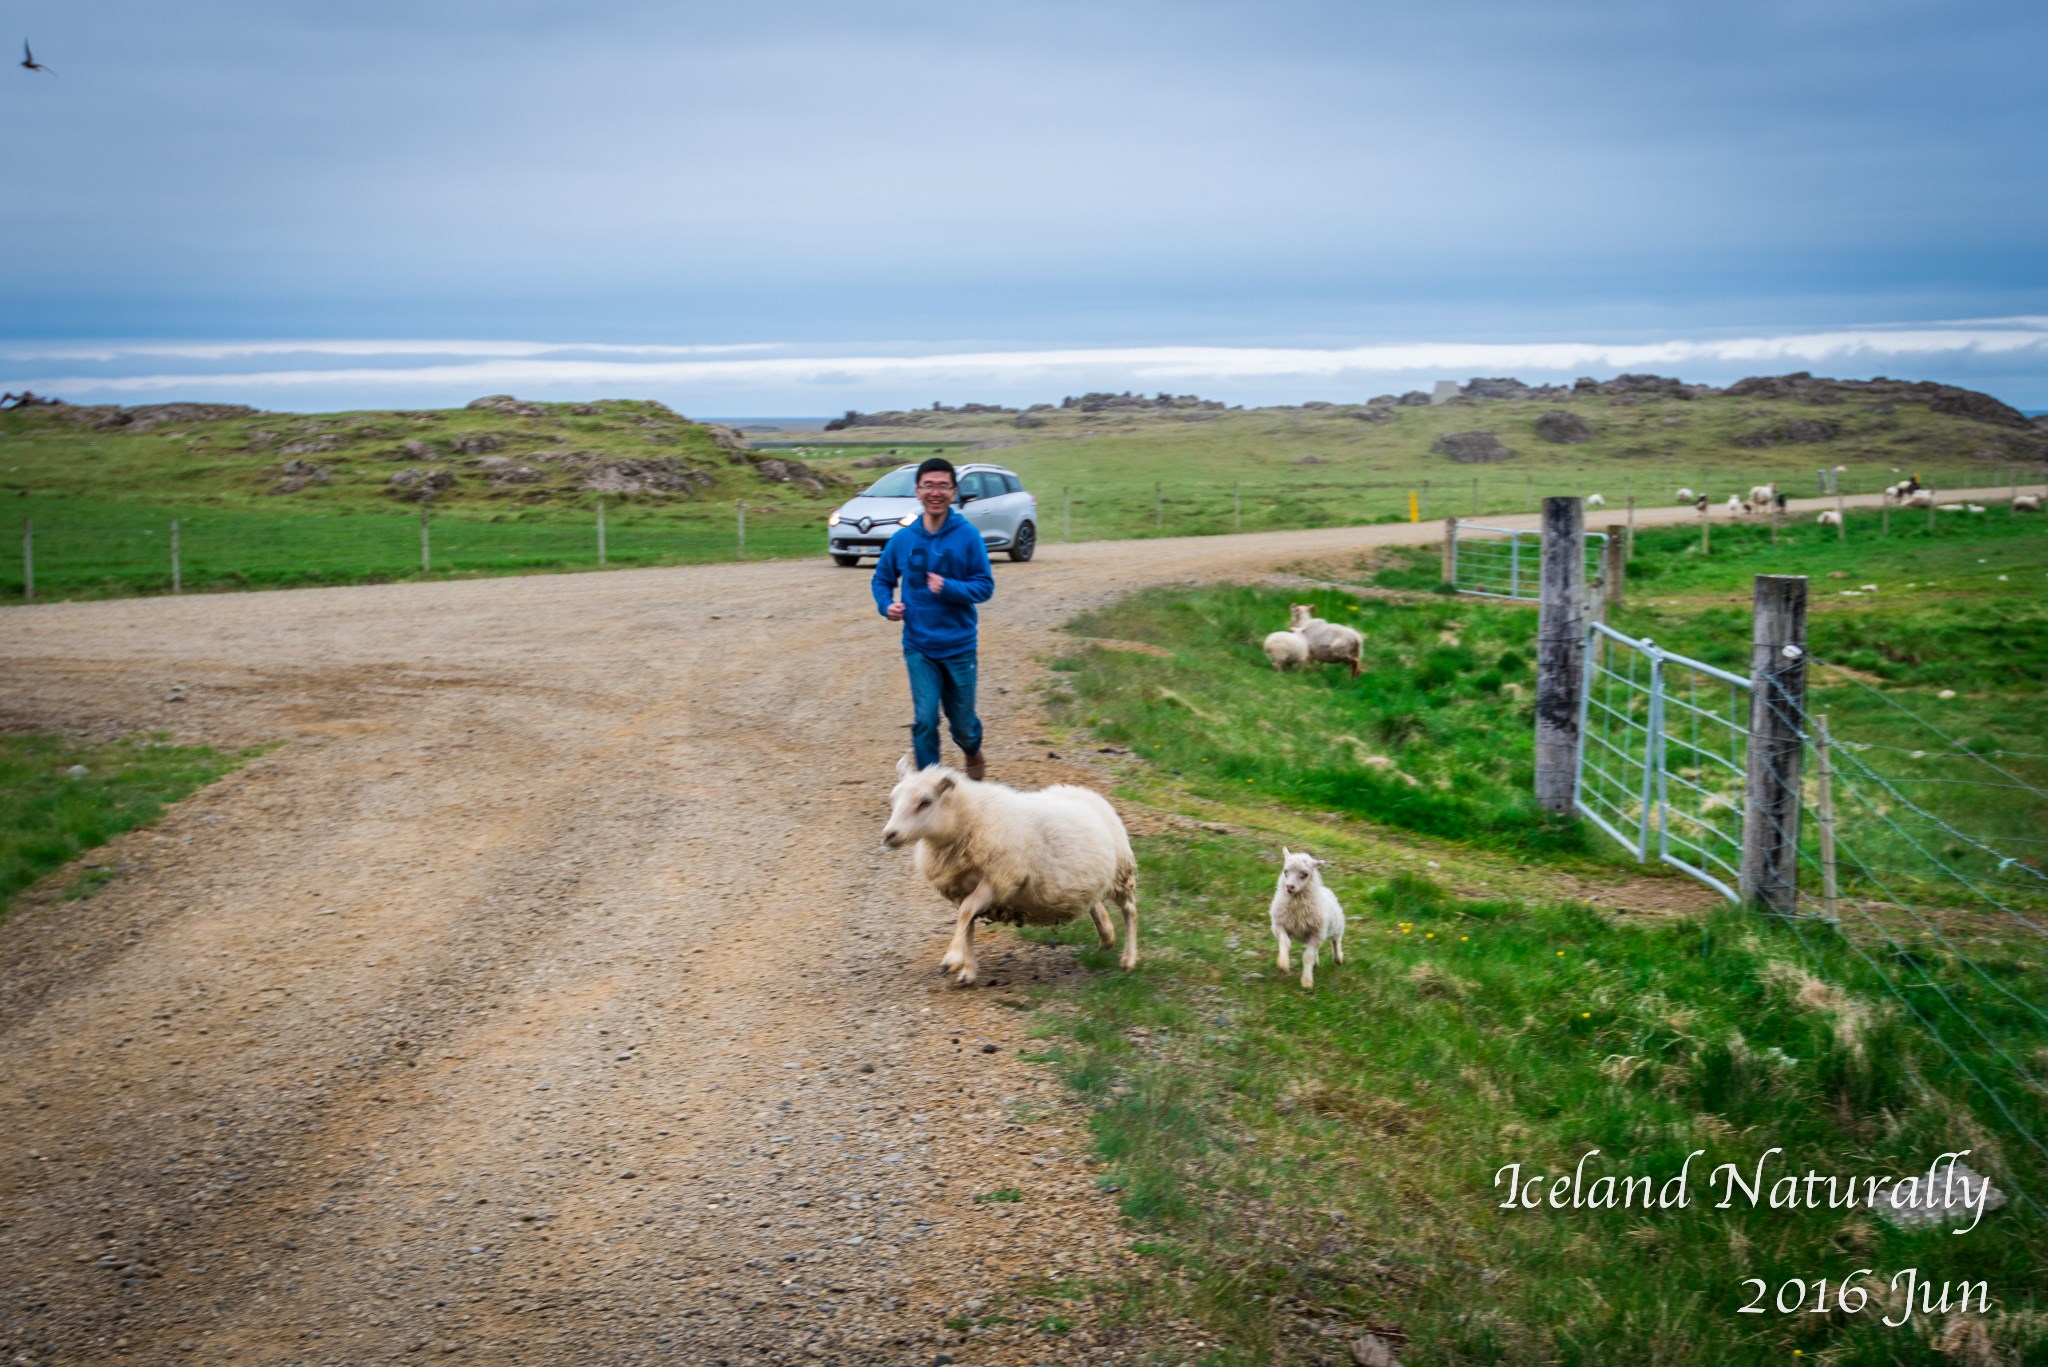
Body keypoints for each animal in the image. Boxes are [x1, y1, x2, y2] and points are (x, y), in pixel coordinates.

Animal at [876, 754, 1138, 987]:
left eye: (925, 802)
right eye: (893, 799)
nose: (889, 834)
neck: (970, 819)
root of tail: (1086, 793)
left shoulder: (1000, 878)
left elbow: (966, 912)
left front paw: (952, 959)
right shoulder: (961, 887)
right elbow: (967, 922)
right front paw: (968, 971)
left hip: (1122, 873)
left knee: (1129, 911)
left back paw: (1129, 959)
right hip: (1090, 879)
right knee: (1094, 902)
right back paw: (1107, 935)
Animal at [1261, 848, 1343, 987]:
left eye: (1305, 874)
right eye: (1285, 871)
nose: (1289, 886)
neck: (1296, 905)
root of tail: (1325, 889)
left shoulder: (1316, 933)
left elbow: (1307, 956)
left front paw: (1307, 981)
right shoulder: (1279, 925)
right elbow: (1285, 942)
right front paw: (1283, 964)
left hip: (1335, 927)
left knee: (1336, 941)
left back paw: (1338, 959)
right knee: (1317, 949)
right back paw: (1316, 963)